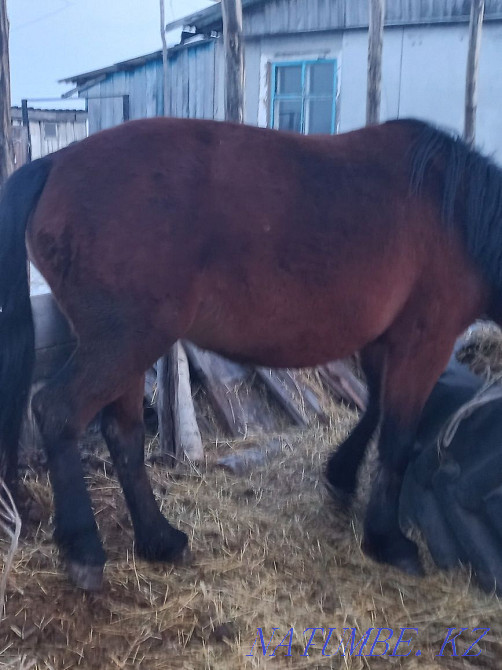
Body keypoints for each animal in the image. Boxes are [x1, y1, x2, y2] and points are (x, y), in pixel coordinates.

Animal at [0, 117, 501, 591]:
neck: (455, 209)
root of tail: (56, 163)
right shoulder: (425, 341)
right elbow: (397, 438)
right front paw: (388, 541)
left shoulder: (385, 341)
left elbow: (374, 410)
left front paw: (341, 476)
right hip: (124, 343)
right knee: (58, 411)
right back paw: (84, 549)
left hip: (127, 351)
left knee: (123, 434)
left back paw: (160, 540)